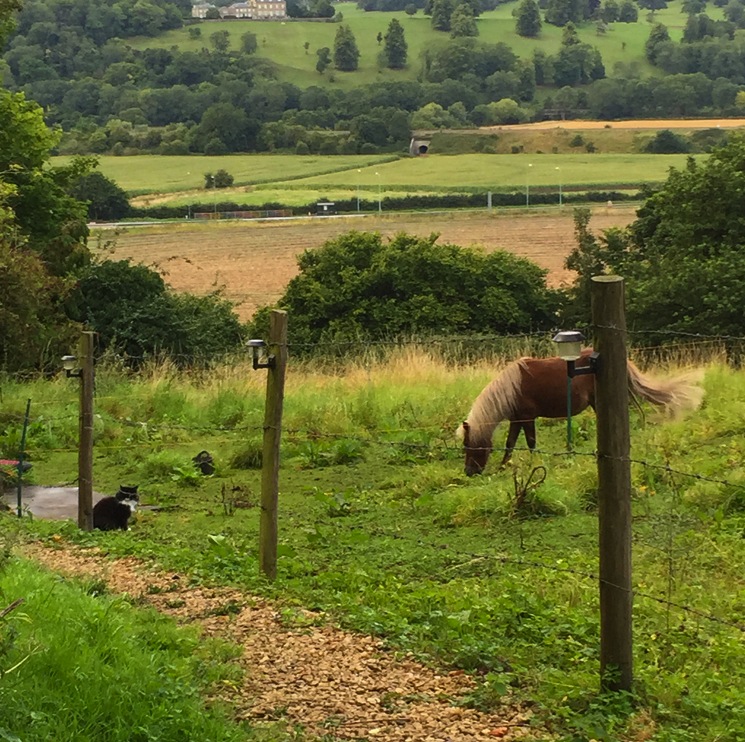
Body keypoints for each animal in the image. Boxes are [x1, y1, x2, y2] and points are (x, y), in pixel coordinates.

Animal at [454, 352, 704, 480]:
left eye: (470, 445)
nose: (469, 472)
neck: (512, 387)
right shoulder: (517, 419)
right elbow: (510, 443)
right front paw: (504, 467)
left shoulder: (527, 417)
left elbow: (531, 443)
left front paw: (533, 465)